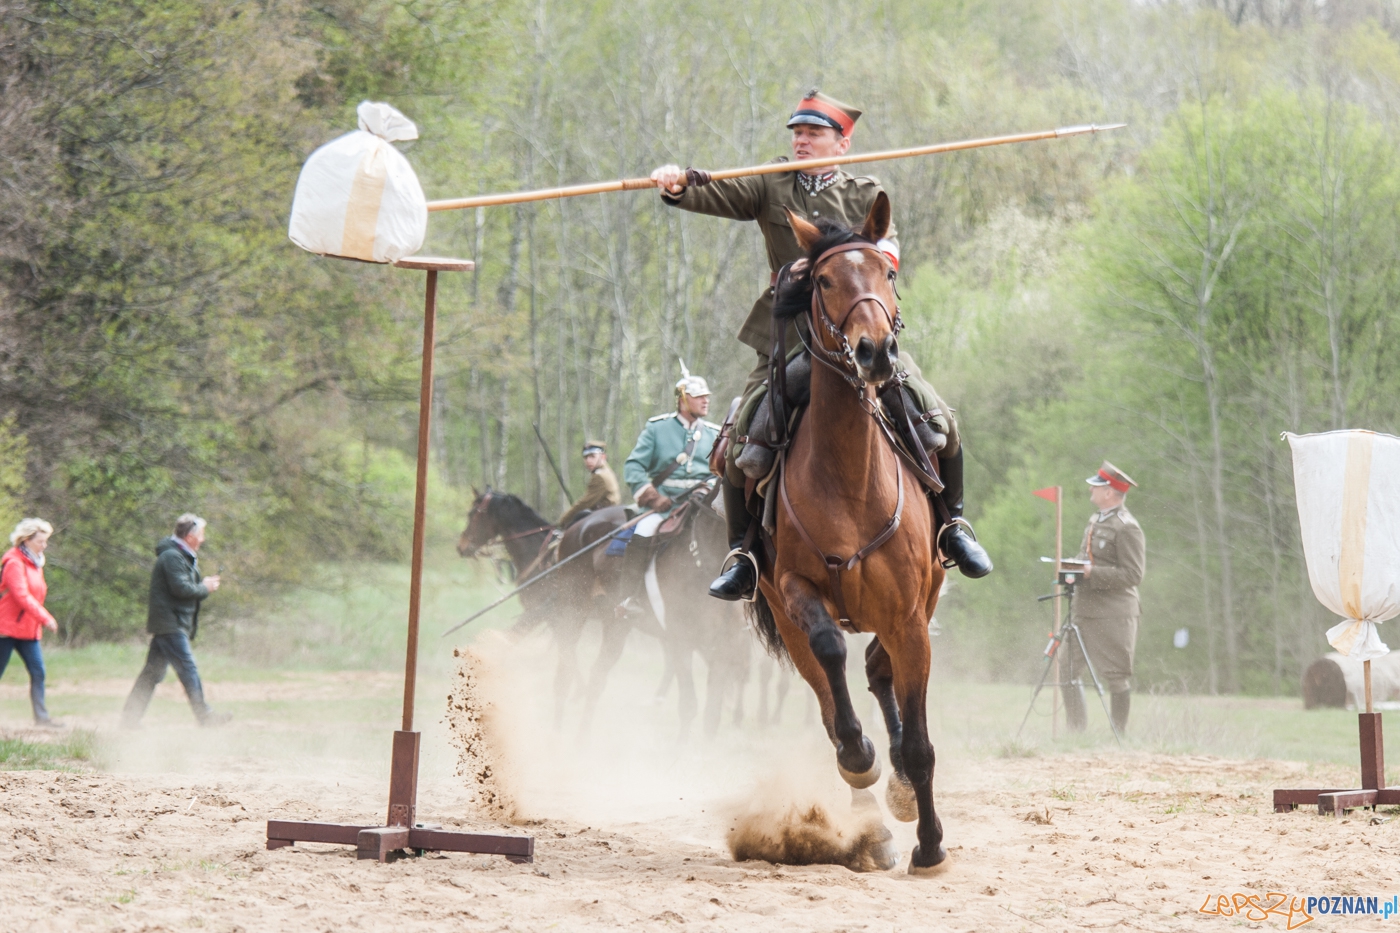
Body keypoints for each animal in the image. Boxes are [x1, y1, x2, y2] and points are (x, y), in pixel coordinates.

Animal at [750, 191, 946, 874]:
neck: (849, 478)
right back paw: (869, 818)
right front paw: (863, 764)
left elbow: (918, 741)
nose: (875, 352)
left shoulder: (910, 617)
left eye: (886, 271)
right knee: (833, 699)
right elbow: (832, 667)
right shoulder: (794, 590)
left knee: (879, 671)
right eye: (824, 280)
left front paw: (930, 844)